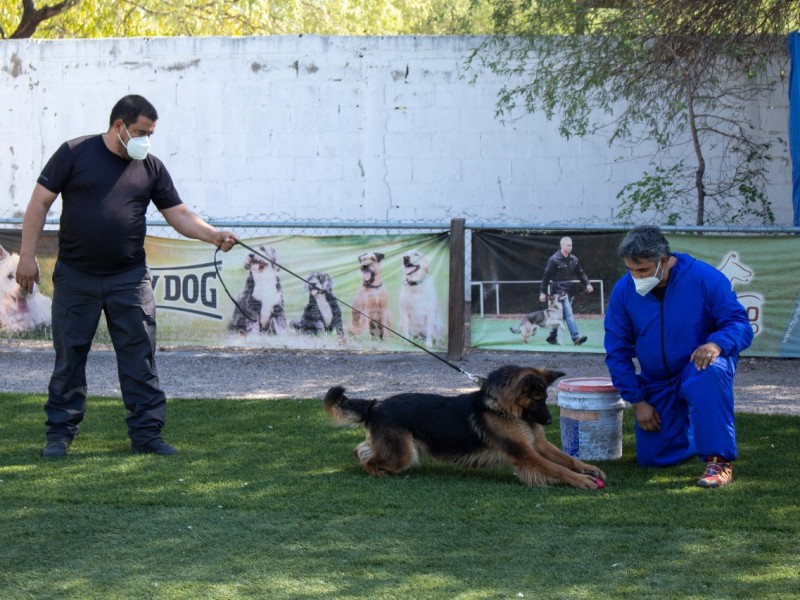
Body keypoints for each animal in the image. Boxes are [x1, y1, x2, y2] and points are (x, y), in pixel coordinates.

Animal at [324, 366, 608, 488]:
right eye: (538, 399)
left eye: (546, 398)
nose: (548, 421)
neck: (502, 408)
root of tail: (375, 405)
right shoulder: (526, 453)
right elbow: (558, 469)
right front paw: (581, 481)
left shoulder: (537, 444)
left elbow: (566, 458)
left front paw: (588, 469)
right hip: (404, 454)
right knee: (367, 457)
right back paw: (376, 472)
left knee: (361, 449)